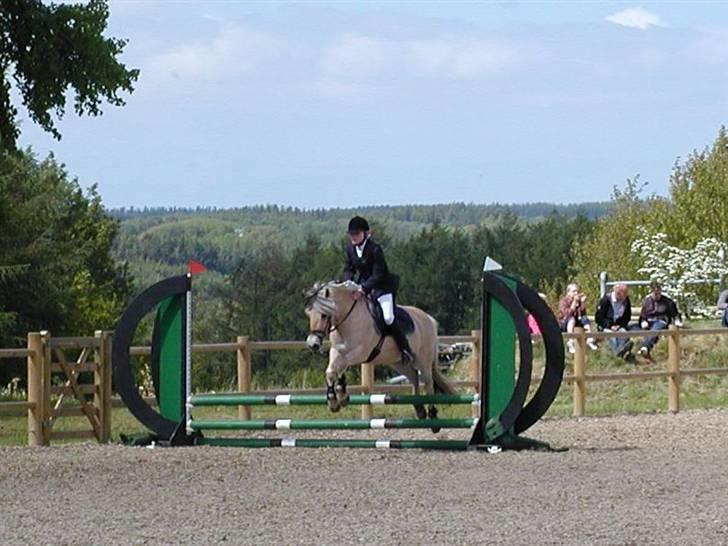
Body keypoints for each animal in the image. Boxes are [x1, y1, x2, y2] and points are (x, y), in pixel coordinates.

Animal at [302, 278, 456, 428]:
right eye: (308, 314)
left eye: (323, 315)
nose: (312, 344)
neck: (349, 319)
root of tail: (429, 318)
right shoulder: (336, 350)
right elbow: (331, 371)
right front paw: (335, 401)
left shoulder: (361, 352)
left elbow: (341, 365)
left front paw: (341, 395)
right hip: (397, 362)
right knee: (414, 377)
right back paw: (419, 410)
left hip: (423, 361)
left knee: (428, 383)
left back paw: (433, 416)